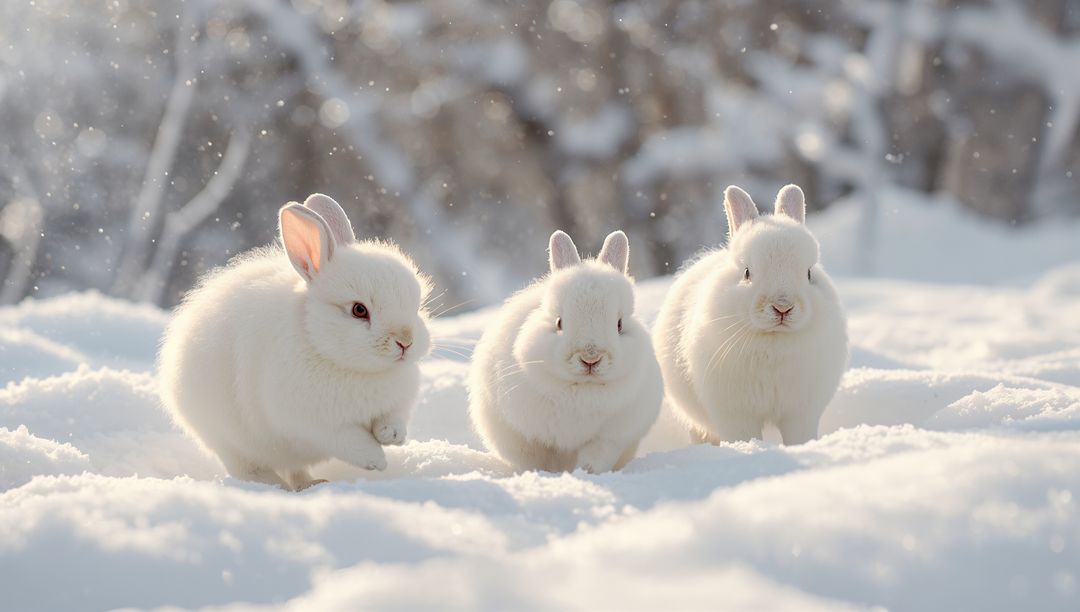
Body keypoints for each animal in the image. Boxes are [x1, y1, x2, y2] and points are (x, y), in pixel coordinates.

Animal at [158, 193, 432, 490]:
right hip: (229, 441)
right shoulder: (312, 424)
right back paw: (276, 485)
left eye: (416, 307)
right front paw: (376, 459)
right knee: (248, 468)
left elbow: (392, 418)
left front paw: (390, 435)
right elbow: (347, 440)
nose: (405, 342)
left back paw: (312, 483)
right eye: (359, 310)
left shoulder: (397, 405)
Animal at [468, 230, 663, 473]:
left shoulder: (608, 439)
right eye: (559, 322)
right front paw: (541, 475)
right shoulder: (529, 436)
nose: (590, 359)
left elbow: (594, 457)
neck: (581, 390)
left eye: (619, 325)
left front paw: (585, 473)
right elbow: (535, 458)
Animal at [652, 184, 848, 445]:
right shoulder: (736, 415)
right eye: (747, 273)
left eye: (809, 273)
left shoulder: (800, 413)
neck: (773, 339)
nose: (783, 307)